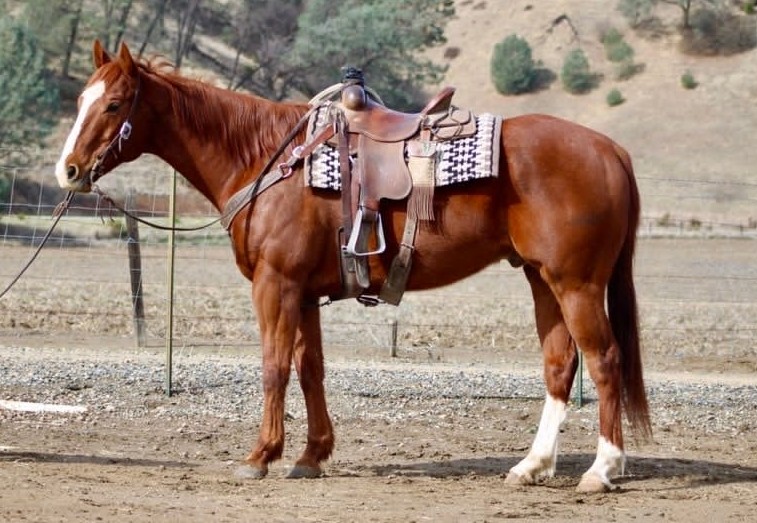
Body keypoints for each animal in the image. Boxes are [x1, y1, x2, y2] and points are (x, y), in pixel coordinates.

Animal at [55, 40, 650, 493]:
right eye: (82, 98)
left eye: (115, 104)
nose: (69, 170)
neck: (269, 159)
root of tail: (611, 150)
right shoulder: (304, 293)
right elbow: (309, 369)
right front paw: (311, 456)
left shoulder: (276, 286)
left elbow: (274, 367)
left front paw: (261, 455)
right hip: (542, 280)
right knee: (560, 366)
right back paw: (533, 466)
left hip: (577, 284)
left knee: (605, 361)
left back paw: (601, 469)